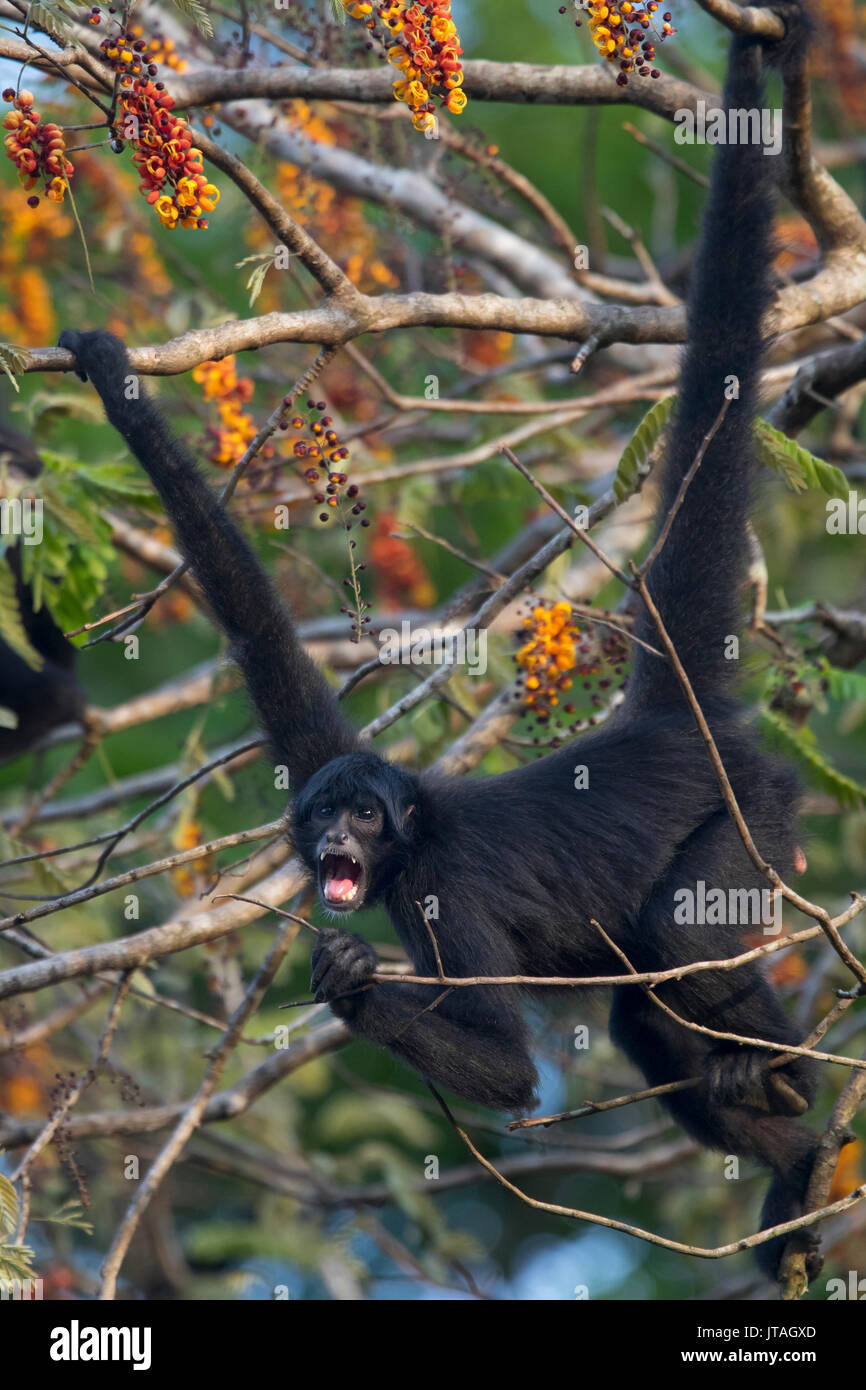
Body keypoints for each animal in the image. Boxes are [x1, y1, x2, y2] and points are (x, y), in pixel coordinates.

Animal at [57, 6, 822, 1279]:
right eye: (326, 812)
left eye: (368, 819)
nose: (337, 840)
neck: (414, 827)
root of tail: (666, 720)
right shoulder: (313, 751)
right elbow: (254, 622)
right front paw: (115, 384)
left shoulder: (438, 886)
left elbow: (507, 1068)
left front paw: (348, 984)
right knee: (645, 1007)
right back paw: (799, 1163)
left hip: (747, 807)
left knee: (676, 938)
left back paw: (795, 1091)